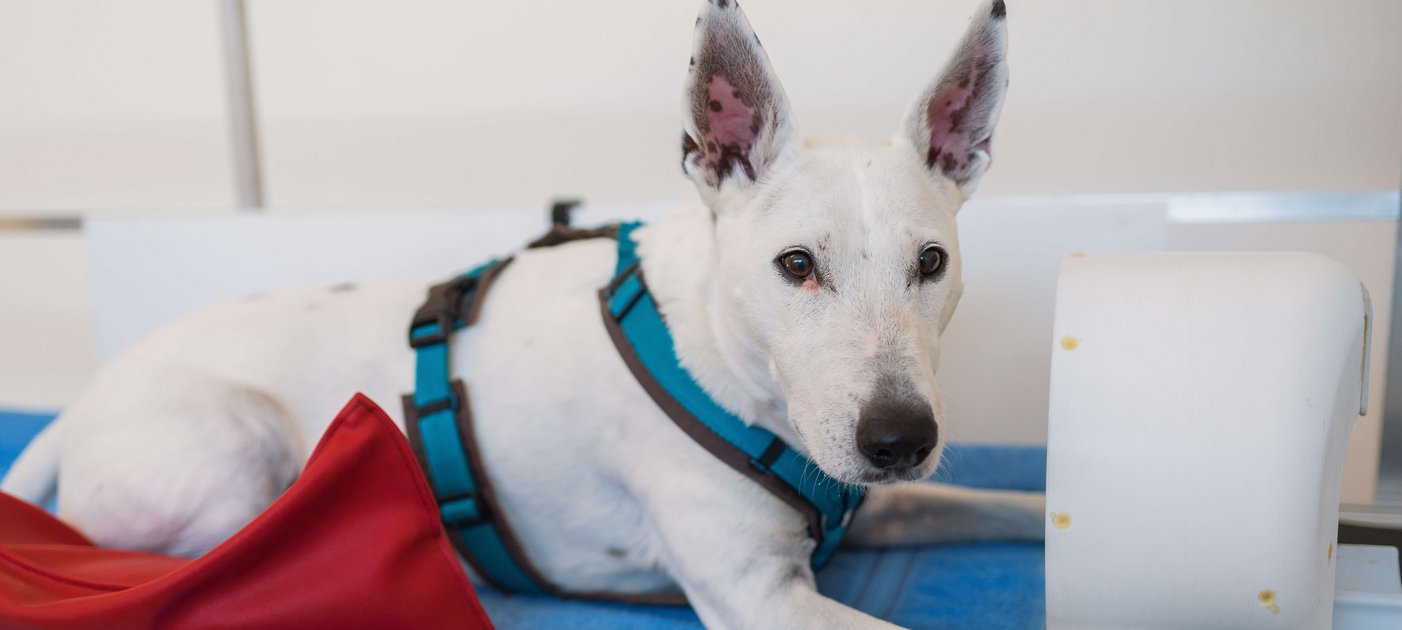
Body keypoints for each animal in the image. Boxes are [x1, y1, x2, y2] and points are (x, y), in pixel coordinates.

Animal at [8, 2, 1043, 625]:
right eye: (797, 266)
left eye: (931, 263)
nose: (900, 438)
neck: (717, 356)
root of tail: (85, 400)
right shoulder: (762, 596)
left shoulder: (884, 507)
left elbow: (1003, 504)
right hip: (235, 449)